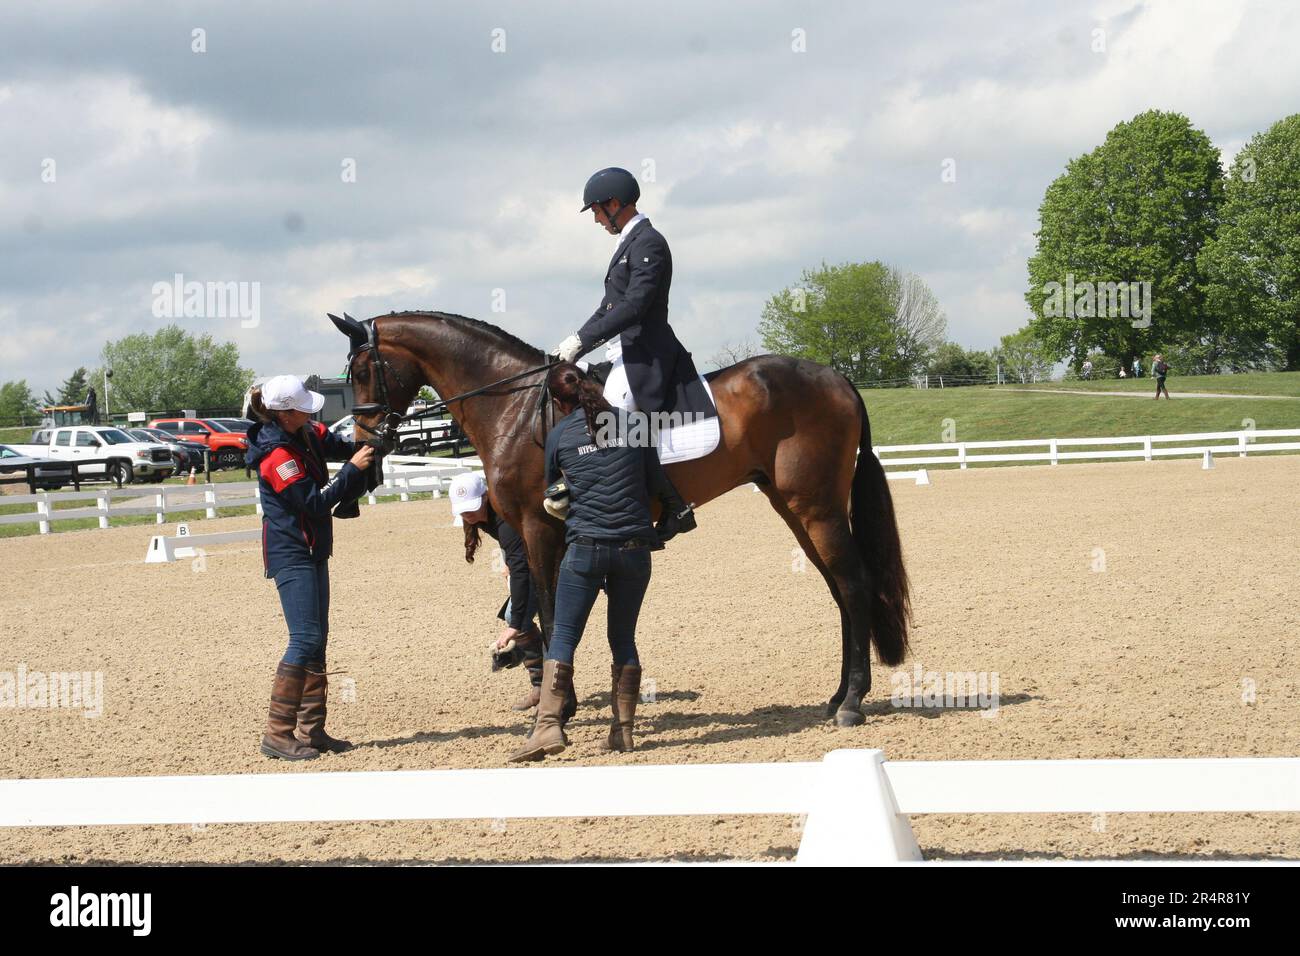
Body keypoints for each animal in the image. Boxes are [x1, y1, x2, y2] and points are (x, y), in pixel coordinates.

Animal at [330, 312, 909, 723]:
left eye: (363, 371)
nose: (364, 443)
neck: (514, 409)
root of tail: (838, 378)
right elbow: (551, 610)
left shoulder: (539, 528)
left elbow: (549, 609)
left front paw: (559, 708)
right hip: (794, 507)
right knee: (838, 589)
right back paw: (836, 697)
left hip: (817, 507)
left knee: (854, 584)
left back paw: (852, 703)